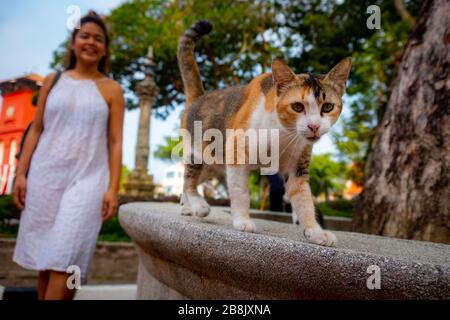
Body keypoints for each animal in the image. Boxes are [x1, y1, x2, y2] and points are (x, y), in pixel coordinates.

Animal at [177, 20, 352, 248]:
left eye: (328, 107)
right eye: (297, 106)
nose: (314, 126)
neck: (283, 134)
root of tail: (199, 97)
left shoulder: (297, 167)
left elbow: (304, 200)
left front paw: (315, 232)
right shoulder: (237, 153)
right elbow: (241, 191)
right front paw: (242, 221)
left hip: (212, 164)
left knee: (188, 181)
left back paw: (186, 206)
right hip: (198, 153)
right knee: (189, 180)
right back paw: (198, 206)